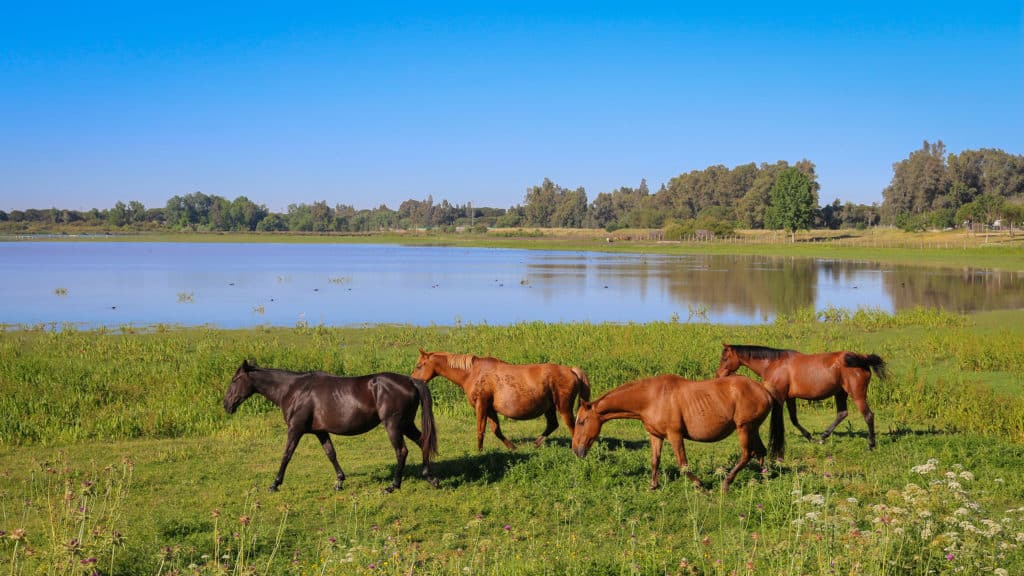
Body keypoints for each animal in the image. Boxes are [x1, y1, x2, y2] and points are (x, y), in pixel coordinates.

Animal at [226, 358, 438, 487]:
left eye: (235, 380)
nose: (226, 404)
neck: (294, 390)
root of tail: (410, 381)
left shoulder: (295, 429)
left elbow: (286, 455)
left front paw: (275, 483)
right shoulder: (320, 431)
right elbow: (331, 454)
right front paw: (340, 481)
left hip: (394, 425)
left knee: (401, 451)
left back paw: (394, 485)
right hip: (406, 424)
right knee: (423, 441)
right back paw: (429, 477)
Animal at [409, 348, 593, 450]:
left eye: (419, 366)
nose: (412, 381)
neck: (472, 373)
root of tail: (571, 370)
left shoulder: (481, 405)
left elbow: (480, 429)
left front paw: (480, 451)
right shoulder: (490, 409)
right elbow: (496, 430)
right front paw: (512, 447)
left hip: (563, 407)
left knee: (572, 427)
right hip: (550, 408)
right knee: (552, 425)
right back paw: (536, 443)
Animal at [569, 375, 782, 491]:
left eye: (581, 421)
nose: (576, 450)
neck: (651, 398)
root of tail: (764, 389)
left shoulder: (675, 435)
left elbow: (683, 464)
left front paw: (699, 485)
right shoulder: (656, 436)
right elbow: (655, 461)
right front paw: (653, 486)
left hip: (744, 428)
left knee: (747, 454)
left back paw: (727, 483)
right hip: (752, 428)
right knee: (760, 452)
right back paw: (763, 478)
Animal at [716, 340, 884, 448]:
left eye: (725, 358)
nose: (718, 375)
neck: (774, 364)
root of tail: (862, 359)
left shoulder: (779, 396)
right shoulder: (790, 397)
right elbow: (794, 419)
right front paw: (810, 437)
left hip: (857, 395)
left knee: (868, 416)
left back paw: (871, 444)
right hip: (840, 393)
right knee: (842, 413)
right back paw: (822, 437)